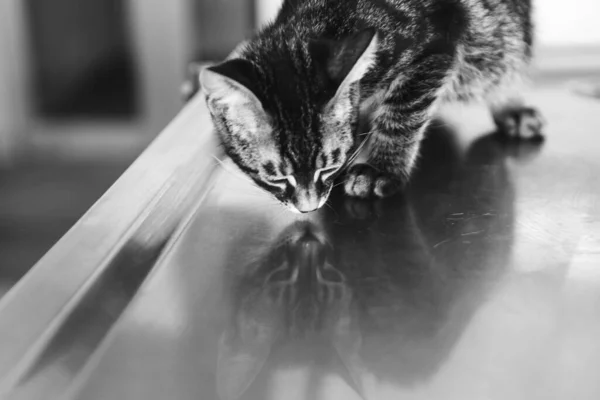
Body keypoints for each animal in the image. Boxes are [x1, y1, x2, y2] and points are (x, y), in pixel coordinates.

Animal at [200, 0, 544, 214]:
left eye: (327, 167)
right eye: (276, 179)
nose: (308, 208)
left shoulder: (437, 47)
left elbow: (403, 114)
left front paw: (381, 168)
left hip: (498, 42)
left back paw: (512, 107)